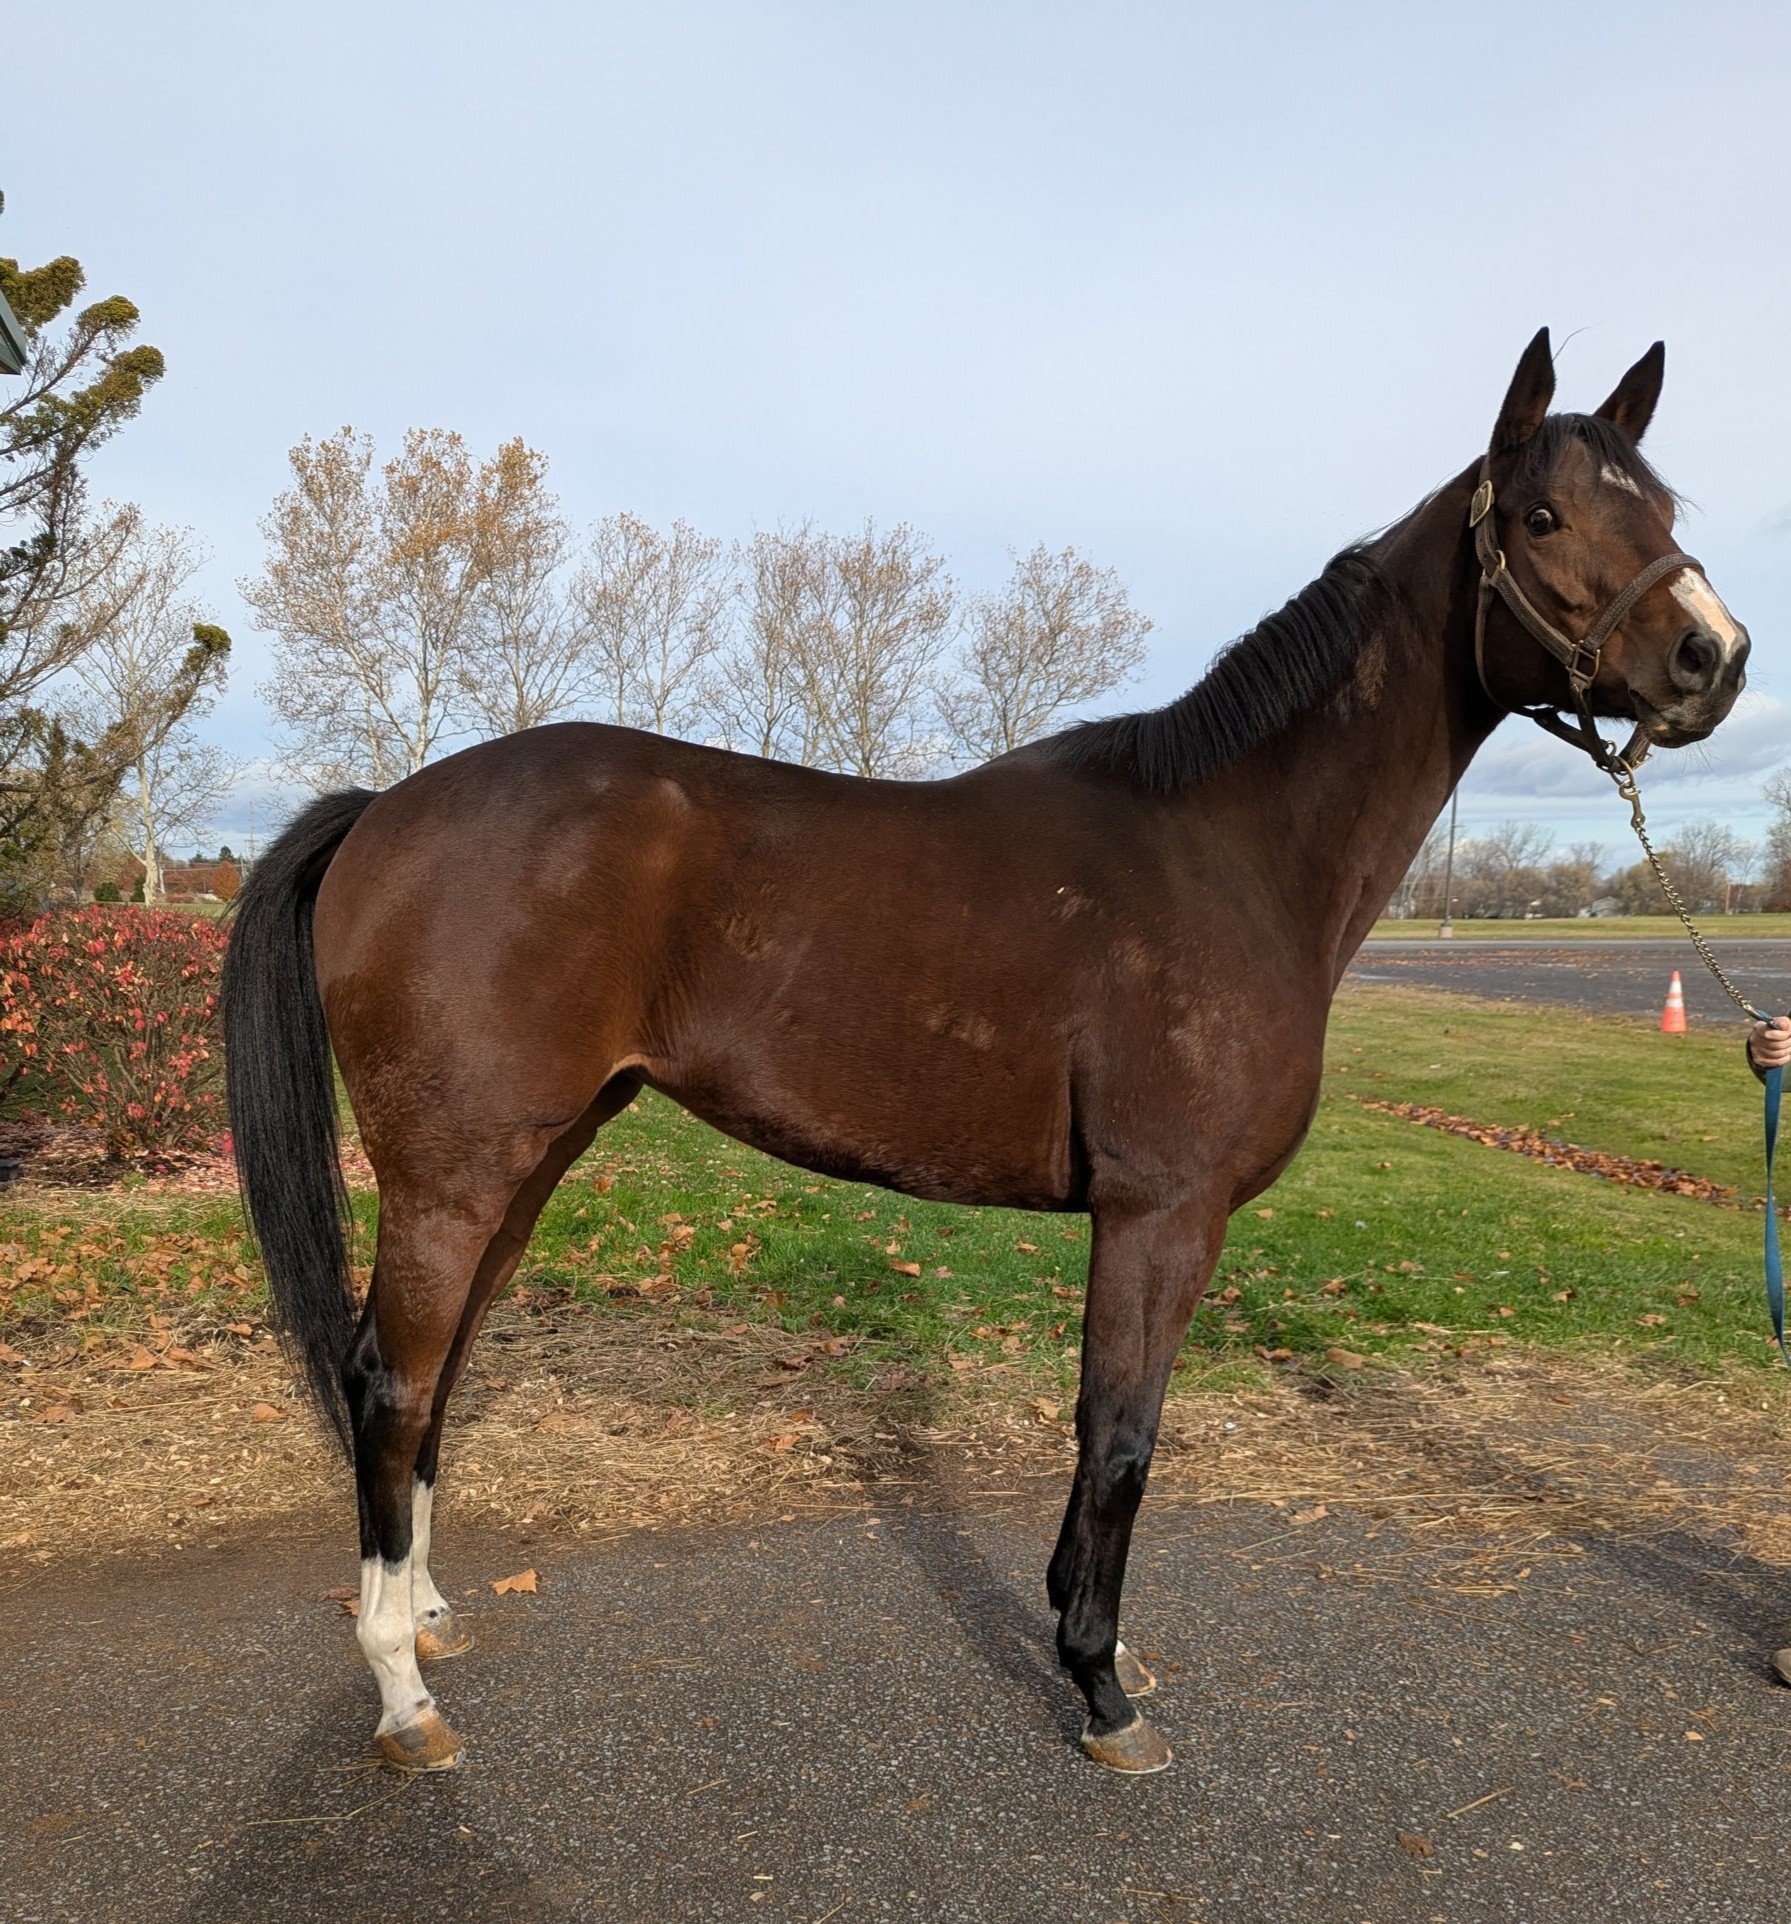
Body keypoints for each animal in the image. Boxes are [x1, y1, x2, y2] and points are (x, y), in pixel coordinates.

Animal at [222, 329, 1749, 1775]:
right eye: (1543, 516)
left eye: (1662, 503)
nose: (1714, 658)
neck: (1231, 854)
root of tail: (385, 808)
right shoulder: (1159, 1211)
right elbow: (1120, 1438)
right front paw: (1100, 1687)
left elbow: (1105, 1434)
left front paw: (1091, 1644)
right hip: (455, 1172)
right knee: (391, 1378)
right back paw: (402, 1692)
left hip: (529, 1158)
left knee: (434, 1373)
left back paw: (427, 1615)